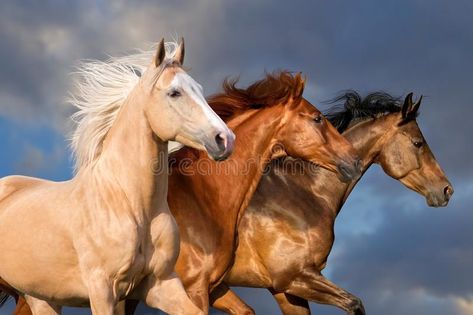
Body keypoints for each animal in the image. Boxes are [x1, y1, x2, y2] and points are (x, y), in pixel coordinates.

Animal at [0, 39, 234, 315]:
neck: (129, 204)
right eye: (174, 93)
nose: (225, 139)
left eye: (198, 88)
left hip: (42, 297)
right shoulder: (103, 290)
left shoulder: (161, 283)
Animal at [208, 91, 452, 315]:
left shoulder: (285, 289)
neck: (299, 193)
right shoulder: (294, 277)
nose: (447, 190)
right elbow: (355, 304)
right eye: (418, 143)